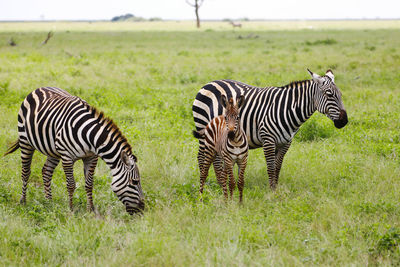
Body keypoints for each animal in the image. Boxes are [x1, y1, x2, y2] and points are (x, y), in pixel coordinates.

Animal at [3, 88, 145, 216]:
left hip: (53, 150)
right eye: (135, 182)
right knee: (26, 172)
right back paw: (23, 201)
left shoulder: (91, 157)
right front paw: (71, 209)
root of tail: (38, 88)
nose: (142, 209)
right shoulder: (67, 157)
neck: (90, 137)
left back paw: (49, 202)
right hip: (25, 141)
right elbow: (71, 184)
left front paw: (90, 210)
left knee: (46, 172)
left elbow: (89, 184)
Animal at [192, 69, 348, 191]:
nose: (344, 121)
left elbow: (278, 166)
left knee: (216, 159)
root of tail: (209, 83)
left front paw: (276, 188)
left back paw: (220, 184)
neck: (287, 109)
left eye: (340, 94)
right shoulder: (268, 139)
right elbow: (271, 166)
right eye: (329, 94)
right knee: (202, 157)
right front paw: (271, 191)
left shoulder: (286, 142)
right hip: (203, 129)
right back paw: (206, 185)